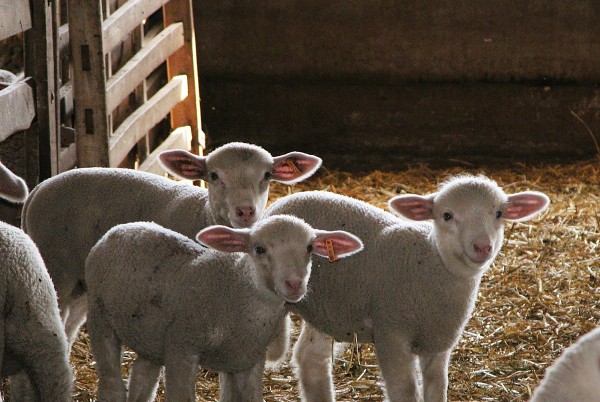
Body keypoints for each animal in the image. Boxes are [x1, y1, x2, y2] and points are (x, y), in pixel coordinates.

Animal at [21, 142, 322, 346]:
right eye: (214, 176)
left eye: (267, 176)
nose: (245, 211)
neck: (202, 214)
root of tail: (38, 189)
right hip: (57, 270)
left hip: (81, 282)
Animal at [85, 215, 364, 400]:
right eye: (259, 249)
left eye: (309, 247)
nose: (294, 284)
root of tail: (124, 227)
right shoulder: (182, 349)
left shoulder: (247, 360)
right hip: (100, 316)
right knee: (111, 382)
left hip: (151, 338)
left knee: (142, 375)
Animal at [264, 175, 552, 402]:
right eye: (447, 215)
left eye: (498, 214)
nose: (482, 247)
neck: (432, 260)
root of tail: (289, 198)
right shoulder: (391, 335)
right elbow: (405, 392)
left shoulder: (438, 342)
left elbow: (437, 391)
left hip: (330, 309)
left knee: (311, 359)